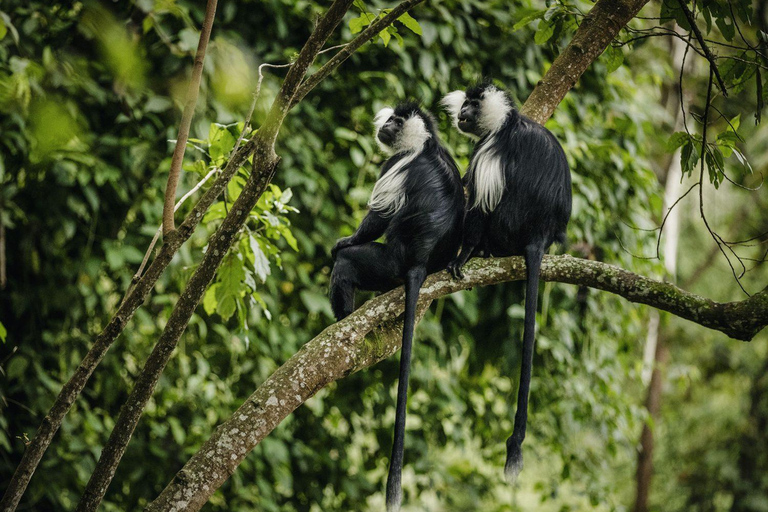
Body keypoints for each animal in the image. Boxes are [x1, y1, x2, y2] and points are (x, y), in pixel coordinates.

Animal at [328, 102, 462, 510]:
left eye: (397, 122)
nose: (385, 125)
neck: (425, 143)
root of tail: (418, 262)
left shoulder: (396, 165)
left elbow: (377, 218)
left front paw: (344, 240)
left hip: (386, 264)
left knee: (349, 265)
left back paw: (342, 319)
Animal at [440, 83, 572, 484]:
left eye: (472, 105)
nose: (461, 113)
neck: (506, 123)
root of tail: (539, 234)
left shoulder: (490, 151)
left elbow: (479, 206)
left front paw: (462, 256)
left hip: (506, 227)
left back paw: (480, 251)